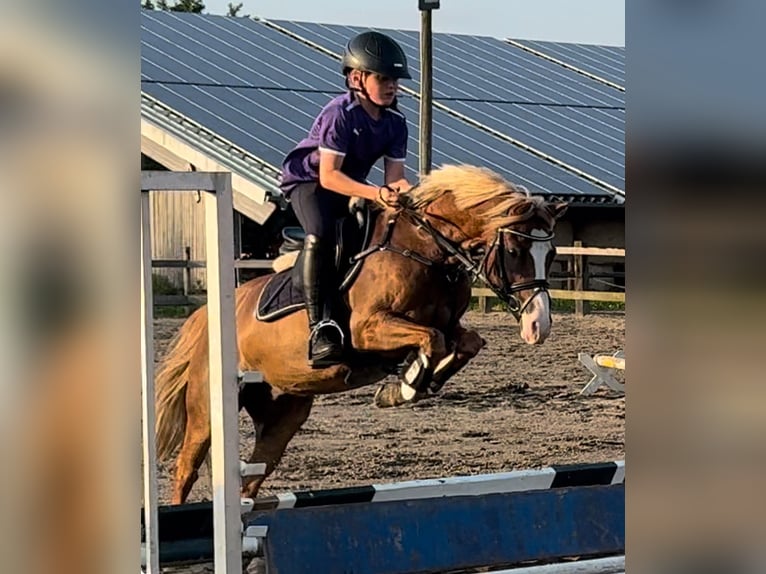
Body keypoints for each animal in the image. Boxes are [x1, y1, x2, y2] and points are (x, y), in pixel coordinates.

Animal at [156, 165, 568, 504]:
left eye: (551, 254)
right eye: (514, 249)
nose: (538, 325)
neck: (426, 250)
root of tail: (207, 316)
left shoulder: (449, 325)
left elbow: (465, 342)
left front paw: (416, 382)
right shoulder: (367, 330)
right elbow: (432, 339)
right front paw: (404, 386)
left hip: (282, 412)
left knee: (252, 477)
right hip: (207, 410)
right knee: (186, 468)